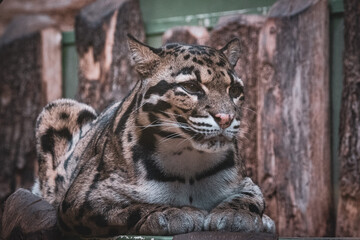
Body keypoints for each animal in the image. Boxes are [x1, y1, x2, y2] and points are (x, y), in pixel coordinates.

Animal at [34, 34, 276, 237]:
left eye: (234, 90)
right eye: (191, 86)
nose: (226, 118)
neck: (188, 159)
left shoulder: (246, 183)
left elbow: (250, 198)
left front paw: (238, 214)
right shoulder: (81, 198)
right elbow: (125, 208)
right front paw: (170, 212)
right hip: (59, 108)